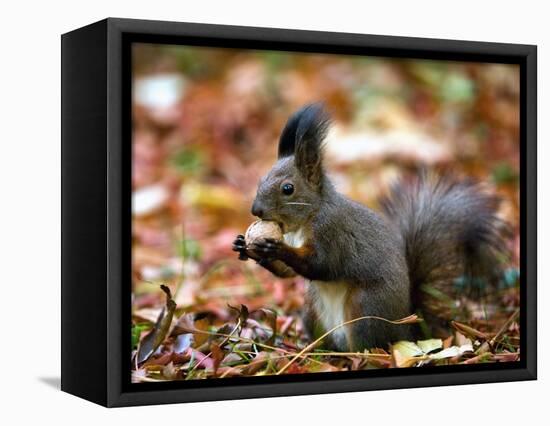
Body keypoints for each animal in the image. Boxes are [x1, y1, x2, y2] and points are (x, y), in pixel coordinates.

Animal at [232, 104, 508, 352]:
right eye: (261, 179)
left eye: (288, 189)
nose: (255, 210)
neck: (307, 219)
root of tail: (406, 328)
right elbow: (287, 273)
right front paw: (244, 246)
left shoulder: (332, 233)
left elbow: (321, 265)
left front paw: (276, 248)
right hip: (312, 310)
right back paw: (311, 348)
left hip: (365, 309)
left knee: (367, 345)